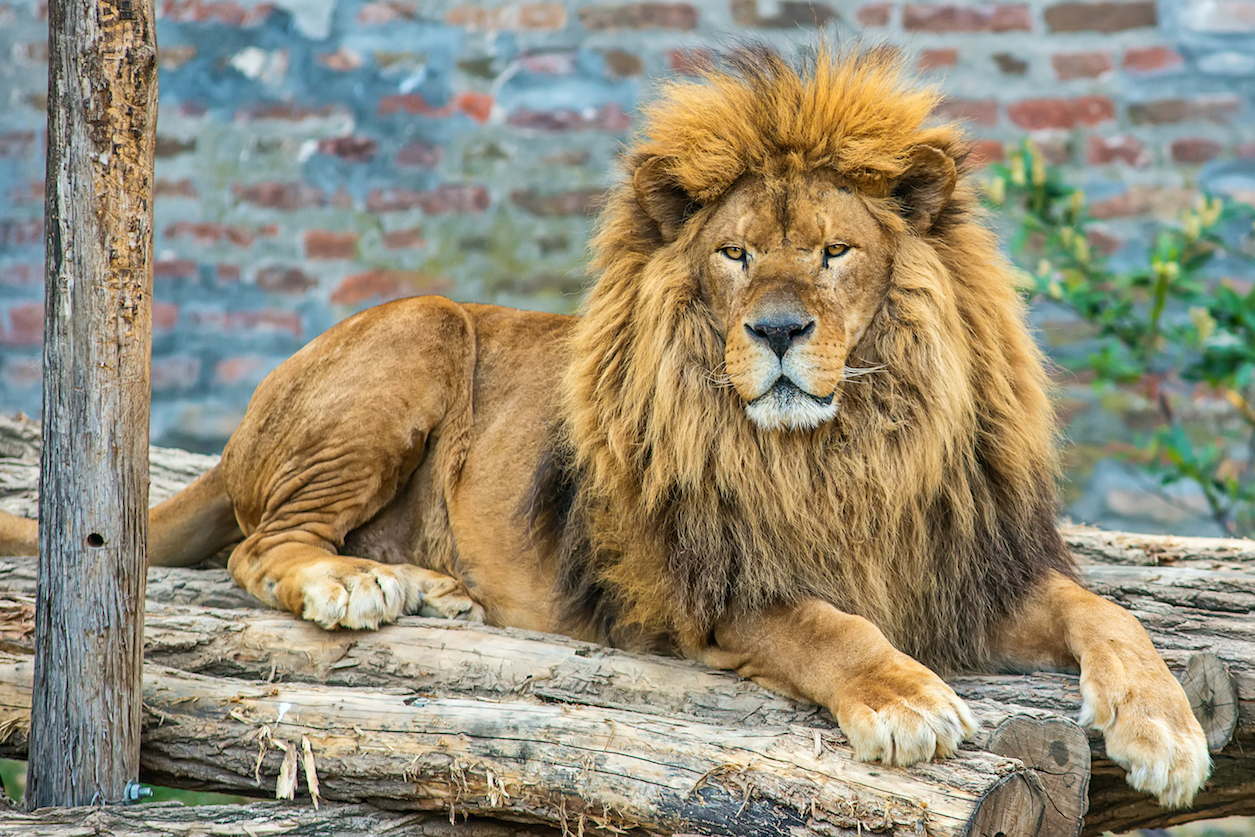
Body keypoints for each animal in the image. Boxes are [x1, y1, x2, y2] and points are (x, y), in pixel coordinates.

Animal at [0, 48, 1210, 808]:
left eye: (833, 252)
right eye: (733, 255)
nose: (777, 330)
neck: (840, 451)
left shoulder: (966, 567)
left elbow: (1108, 614)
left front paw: (1166, 733)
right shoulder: (703, 583)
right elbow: (826, 625)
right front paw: (907, 701)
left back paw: (430, 585)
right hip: (419, 332)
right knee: (261, 544)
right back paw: (360, 585)